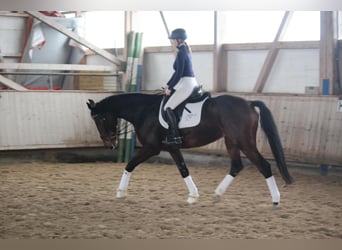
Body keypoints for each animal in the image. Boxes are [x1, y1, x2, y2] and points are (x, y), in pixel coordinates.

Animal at [87, 92, 292, 205]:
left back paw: (276, 200)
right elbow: (183, 170)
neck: (143, 111)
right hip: (231, 142)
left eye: (100, 119)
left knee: (264, 166)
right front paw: (193, 196)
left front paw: (120, 192)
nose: (109, 144)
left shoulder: (151, 148)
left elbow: (130, 165)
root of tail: (248, 103)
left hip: (244, 142)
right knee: (236, 166)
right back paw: (216, 195)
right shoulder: (172, 148)